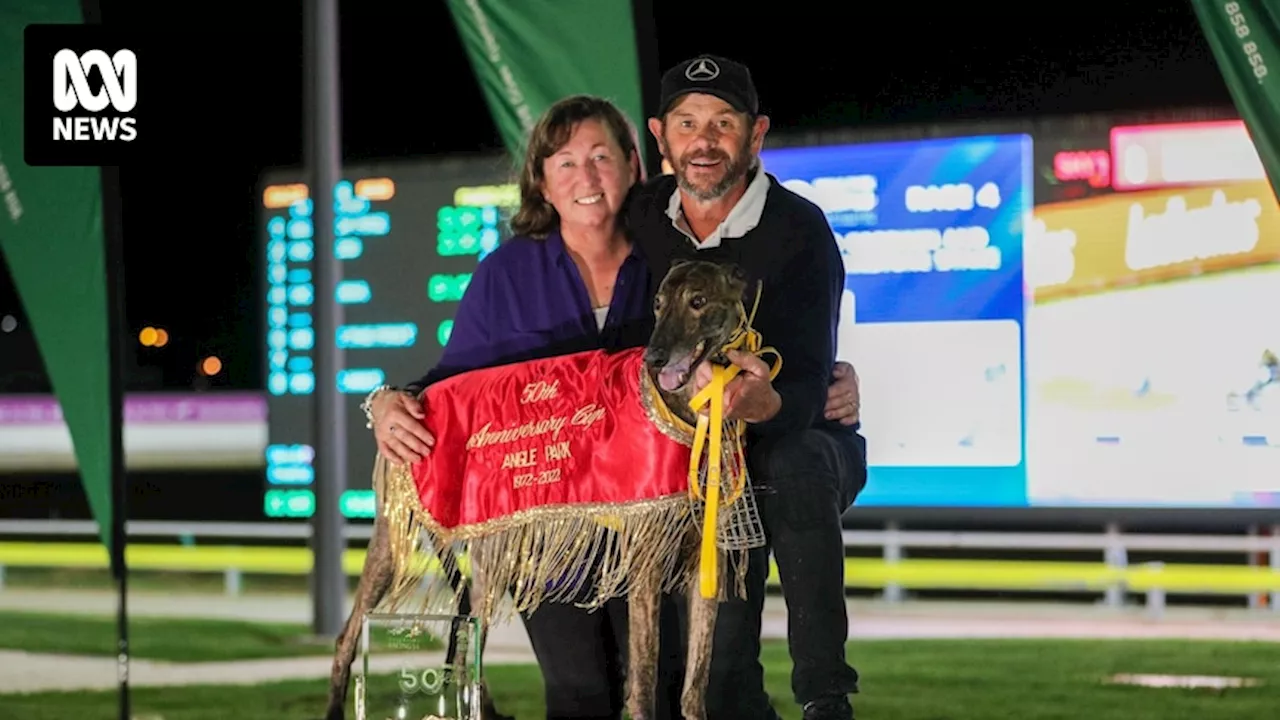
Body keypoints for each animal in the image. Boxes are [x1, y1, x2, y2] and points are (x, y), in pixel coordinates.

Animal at [325, 260, 757, 717]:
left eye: (698, 301)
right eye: (657, 303)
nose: (655, 359)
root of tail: (415, 398)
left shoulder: (705, 559)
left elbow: (695, 685)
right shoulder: (645, 559)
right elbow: (643, 683)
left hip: (487, 553)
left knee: (467, 643)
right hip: (394, 542)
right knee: (348, 635)